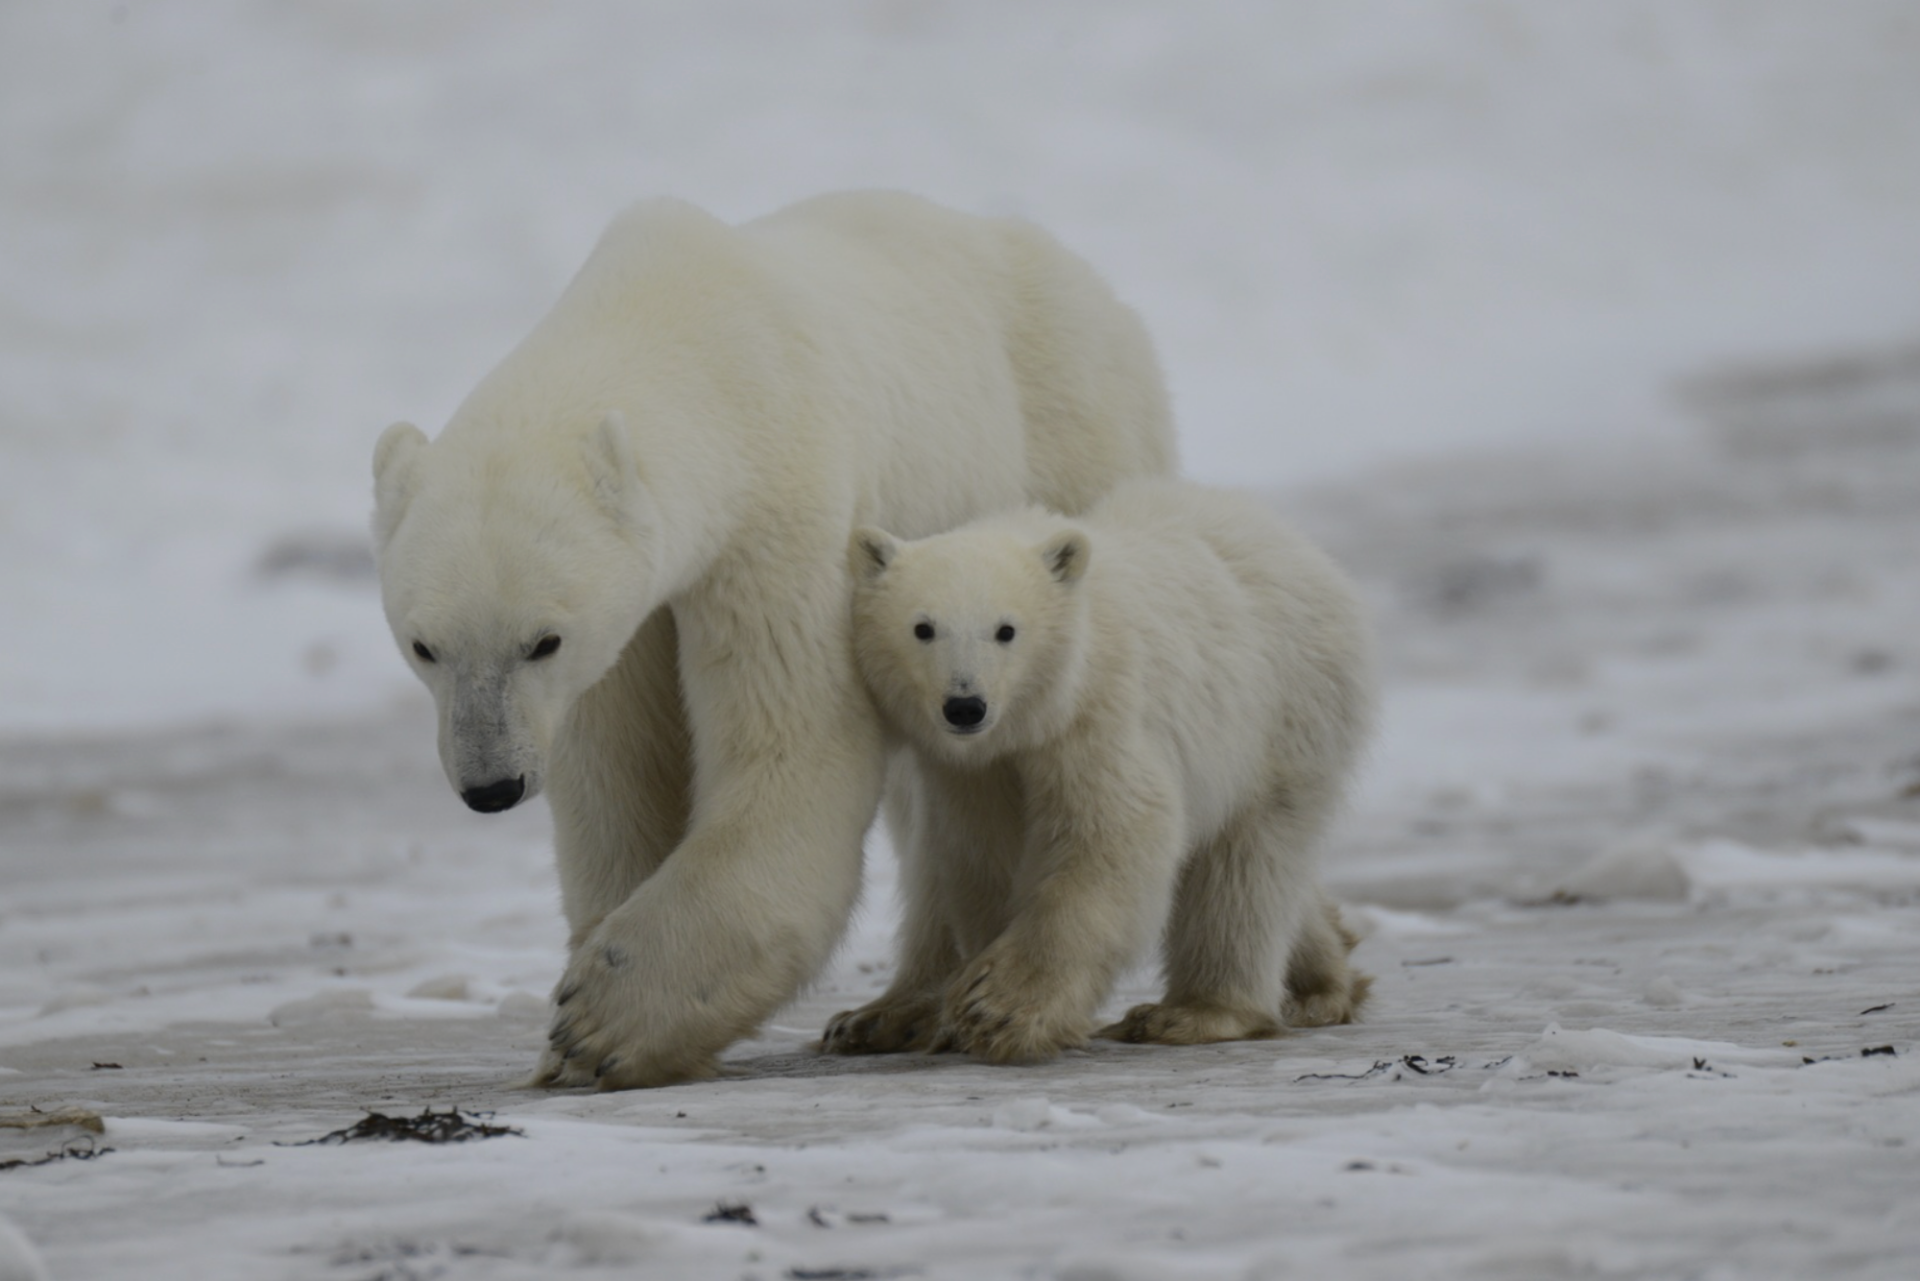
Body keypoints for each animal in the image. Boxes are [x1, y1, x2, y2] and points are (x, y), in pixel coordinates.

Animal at [370, 191, 1175, 1088]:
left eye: (541, 640)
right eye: (424, 646)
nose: (491, 785)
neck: (683, 337)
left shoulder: (778, 505)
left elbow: (793, 751)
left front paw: (603, 1017)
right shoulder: (630, 624)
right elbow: (620, 778)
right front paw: (572, 1034)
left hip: (1063, 448)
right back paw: (889, 1010)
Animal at [824, 478, 1373, 1064]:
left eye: (1006, 630)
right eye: (923, 628)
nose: (965, 705)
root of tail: (1308, 555)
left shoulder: (1100, 714)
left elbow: (1115, 835)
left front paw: (1000, 1007)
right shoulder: (973, 772)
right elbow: (982, 859)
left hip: (1282, 714)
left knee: (1245, 867)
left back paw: (1195, 1012)